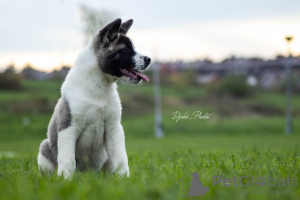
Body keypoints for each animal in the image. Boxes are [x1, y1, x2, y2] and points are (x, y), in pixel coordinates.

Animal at [36, 18, 151, 179]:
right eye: (125, 50)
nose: (149, 59)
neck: (99, 84)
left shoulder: (114, 128)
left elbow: (121, 157)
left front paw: (124, 177)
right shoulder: (68, 127)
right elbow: (67, 158)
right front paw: (66, 179)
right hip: (44, 147)